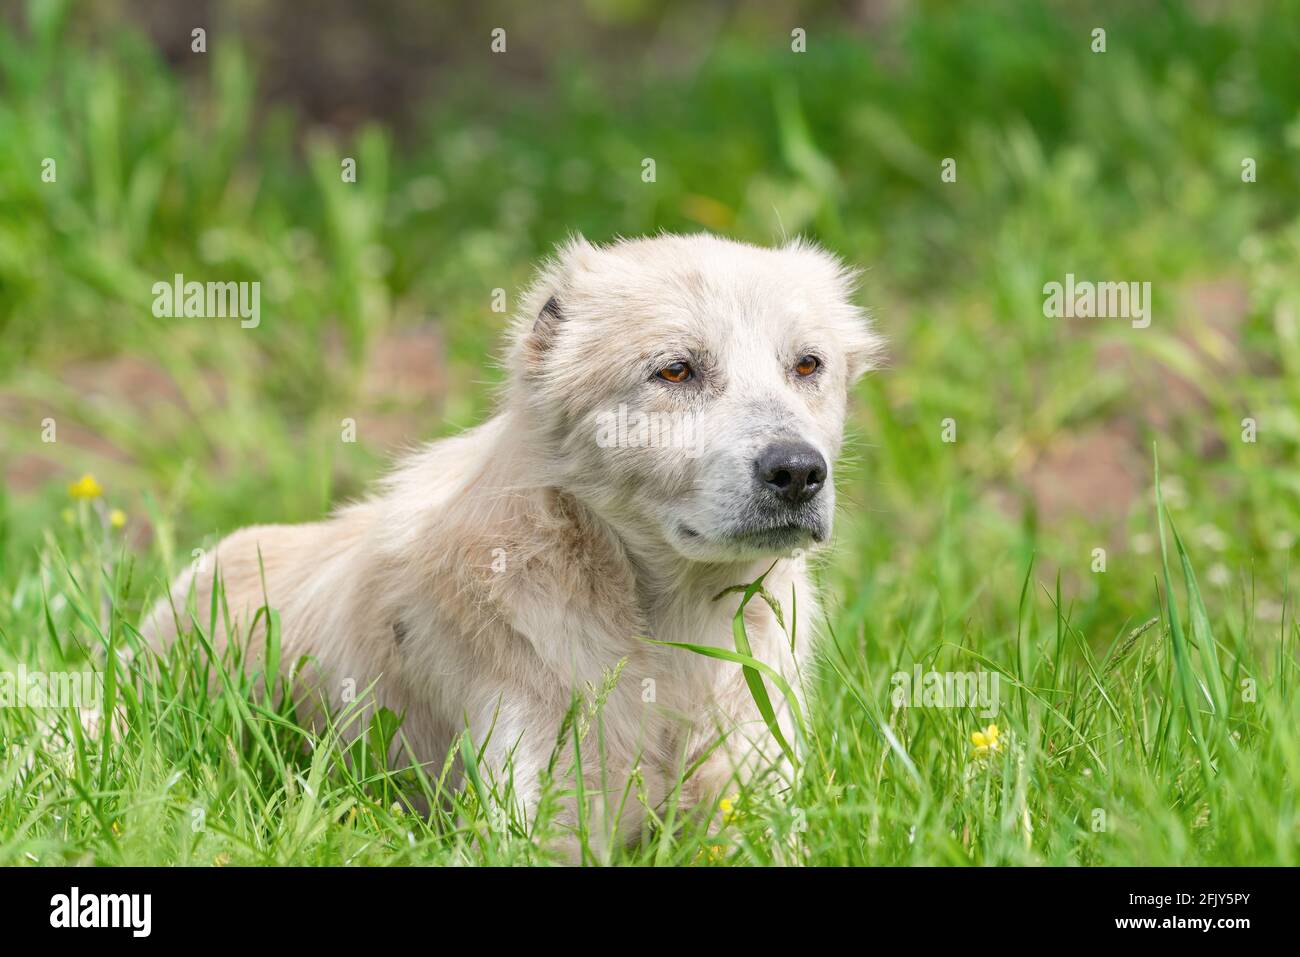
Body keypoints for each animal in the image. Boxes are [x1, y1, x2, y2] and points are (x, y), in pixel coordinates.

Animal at [142, 231, 883, 842]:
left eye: (807, 366)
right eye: (676, 370)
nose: (797, 472)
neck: (667, 638)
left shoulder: (755, 803)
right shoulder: (538, 818)